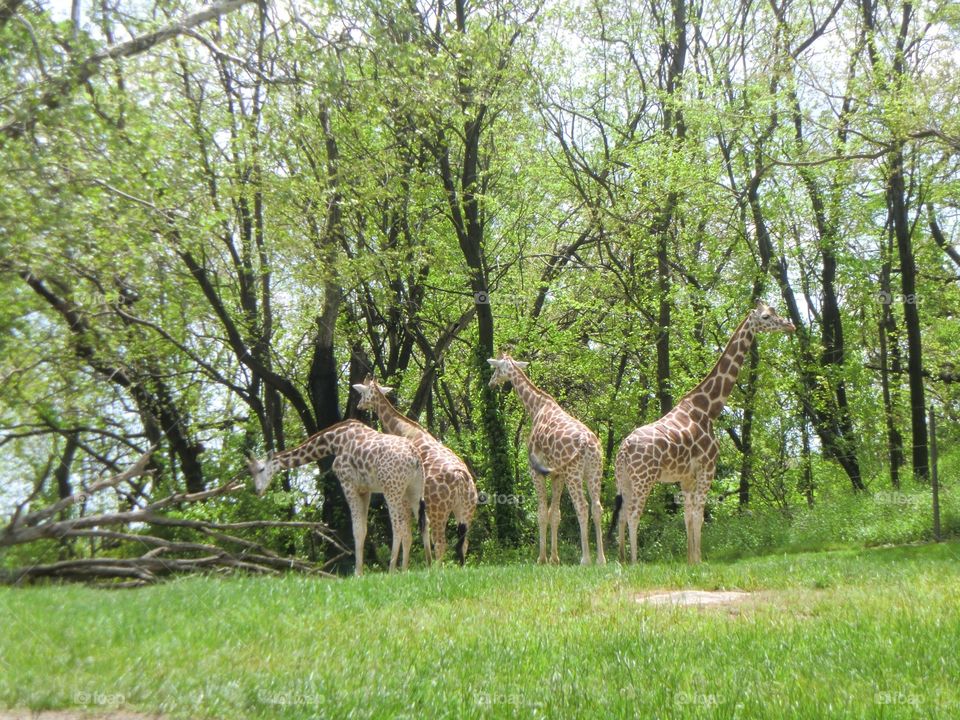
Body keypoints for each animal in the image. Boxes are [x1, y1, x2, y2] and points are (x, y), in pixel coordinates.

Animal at [246, 419, 424, 576]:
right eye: (251, 472)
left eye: (261, 469)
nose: (257, 490)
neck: (334, 442)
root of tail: (414, 457)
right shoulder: (365, 490)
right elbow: (363, 529)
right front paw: (360, 571)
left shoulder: (348, 483)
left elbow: (357, 530)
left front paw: (357, 573)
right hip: (411, 491)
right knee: (417, 524)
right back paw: (406, 569)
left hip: (391, 489)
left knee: (398, 526)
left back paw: (392, 570)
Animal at [353, 376, 479, 565]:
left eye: (362, 392)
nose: (359, 406)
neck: (403, 429)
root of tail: (461, 479)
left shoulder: (406, 498)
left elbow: (407, 532)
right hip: (466, 510)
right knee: (464, 544)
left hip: (439, 510)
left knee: (441, 543)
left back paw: (437, 569)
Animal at [487, 353, 606, 565]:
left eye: (497, 369)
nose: (491, 383)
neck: (536, 407)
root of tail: (589, 445)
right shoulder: (557, 474)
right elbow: (555, 514)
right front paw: (554, 559)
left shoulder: (535, 470)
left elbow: (542, 512)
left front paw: (541, 559)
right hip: (594, 471)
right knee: (597, 508)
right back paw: (601, 560)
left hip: (574, 473)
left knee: (582, 507)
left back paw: (585, 559)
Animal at [611, 300, 795, 564]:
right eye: (766, 317)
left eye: (775, 311)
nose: (790, 325)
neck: (708, 410)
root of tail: (623, 450)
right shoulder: (708, 467)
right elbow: (699, 515)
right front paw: (699, 561)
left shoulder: (686, 476)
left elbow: (688, 516)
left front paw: (690, 560)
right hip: (644, 478)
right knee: (634, 514)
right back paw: (636, 563)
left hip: (623, 478)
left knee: (622, 514)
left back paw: (622, 560)